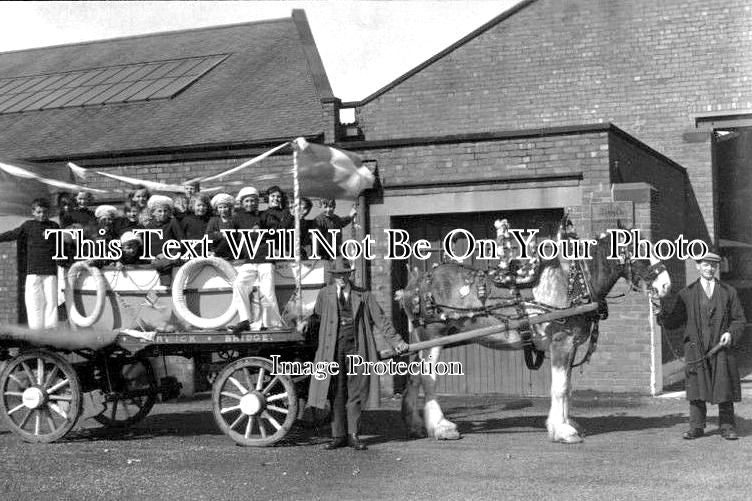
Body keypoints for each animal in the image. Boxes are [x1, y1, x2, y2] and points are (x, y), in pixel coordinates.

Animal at [396, 230, 672, 442]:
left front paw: (563, 423)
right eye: (641, 249)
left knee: (413, 377)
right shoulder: (562, 342)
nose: (666, 285)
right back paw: (441, 427)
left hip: (421, 339)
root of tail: (416, 282)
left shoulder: (570, 346)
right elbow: (559, 388)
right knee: (428, 379)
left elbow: (567, 387)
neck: (574, 283)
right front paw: (563, 431)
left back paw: (415, 425)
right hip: (432, 335)